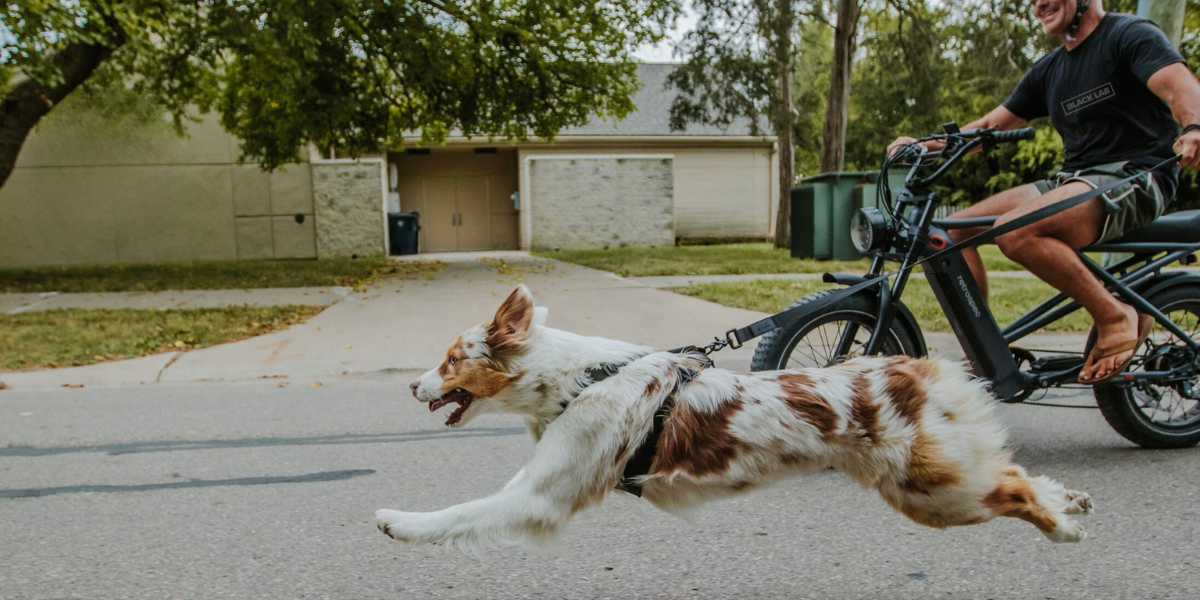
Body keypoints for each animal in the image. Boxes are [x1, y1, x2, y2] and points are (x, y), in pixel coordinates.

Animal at [379, 285, 1094, 549]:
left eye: (449, 360)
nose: (413, 384)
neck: (580, 380)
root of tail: (913, 366)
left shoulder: (540, 496)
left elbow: (460, 514)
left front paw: (399, 522)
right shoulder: (539, 480)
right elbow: (475, 504)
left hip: (931, 491)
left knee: (1013, 487)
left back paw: (1062, 526)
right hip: (941, 477)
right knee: (1012, 470)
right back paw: (1070, 501)